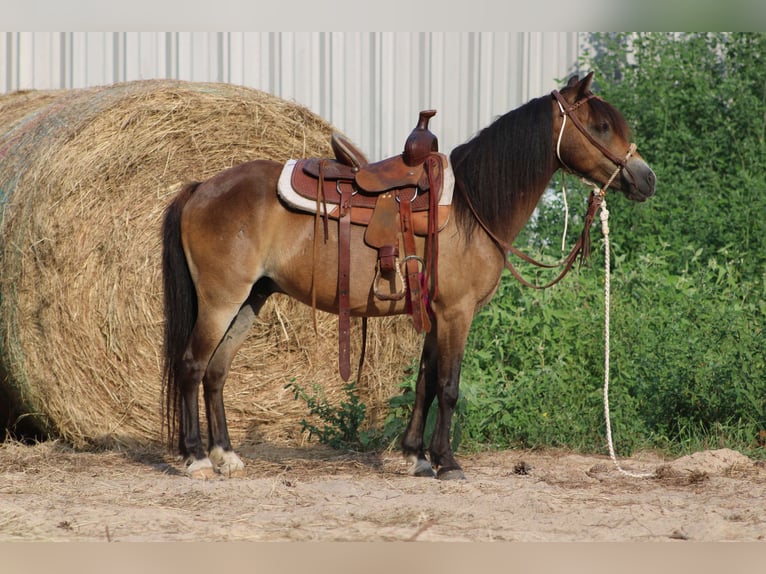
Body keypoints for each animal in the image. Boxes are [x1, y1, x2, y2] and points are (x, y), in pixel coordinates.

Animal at [160, 74, 656, 484]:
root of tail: (200, 187)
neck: (471, 208)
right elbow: (449, 388)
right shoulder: (457, 313)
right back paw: (197, 458)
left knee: (217, 371)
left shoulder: (436, 314)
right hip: (221, 301)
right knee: (191, 366)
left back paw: (226, 455)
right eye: (601, 126)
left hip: (250, 300)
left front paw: (417, 456)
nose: (646, 178)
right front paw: (448, 463)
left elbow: (425, 381)